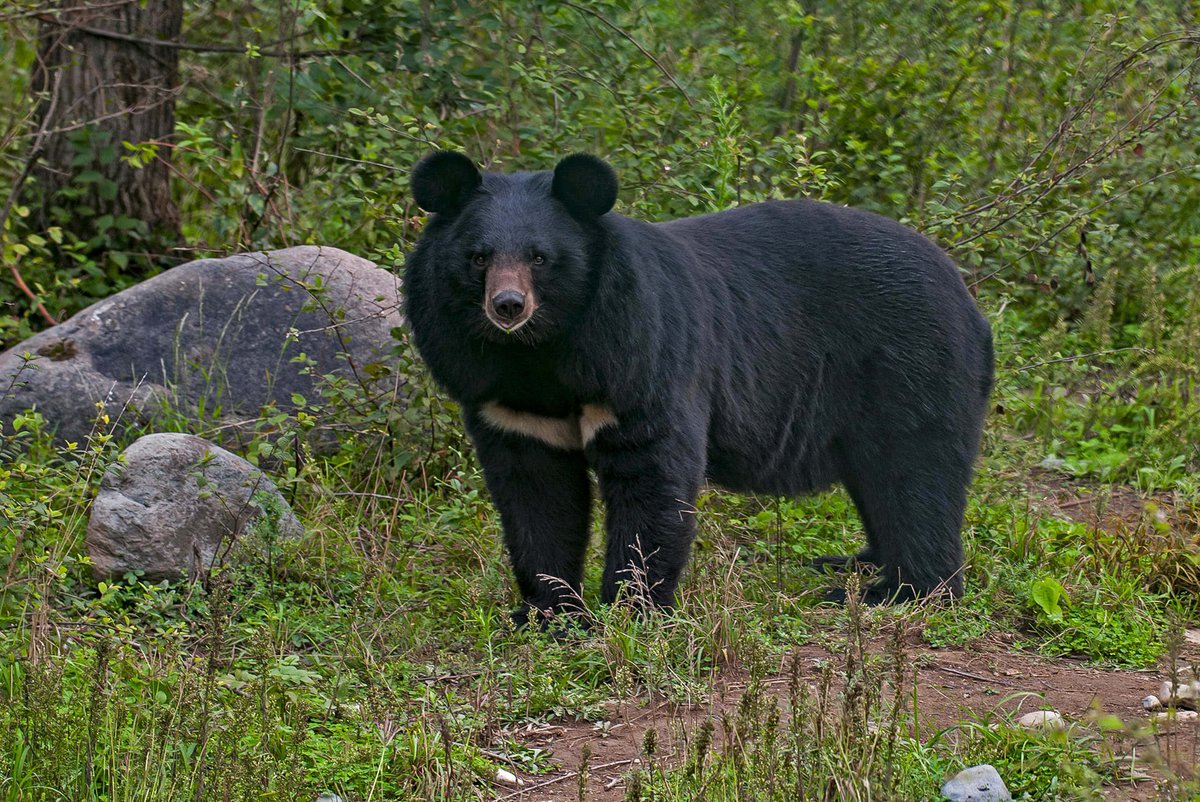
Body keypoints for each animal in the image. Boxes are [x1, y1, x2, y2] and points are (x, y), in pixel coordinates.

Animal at [403, 151, 993, 619]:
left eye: (540, 257)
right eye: (479, 257)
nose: (508, 306)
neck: (541, 353)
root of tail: (967, 297)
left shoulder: (638, 356)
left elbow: (652, 474)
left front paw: (631, 610)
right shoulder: (503, 398)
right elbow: (535, 493)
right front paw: (548, 612)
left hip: (910, 365)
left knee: (915, 474)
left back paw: (899, 590)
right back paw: (852, 563)